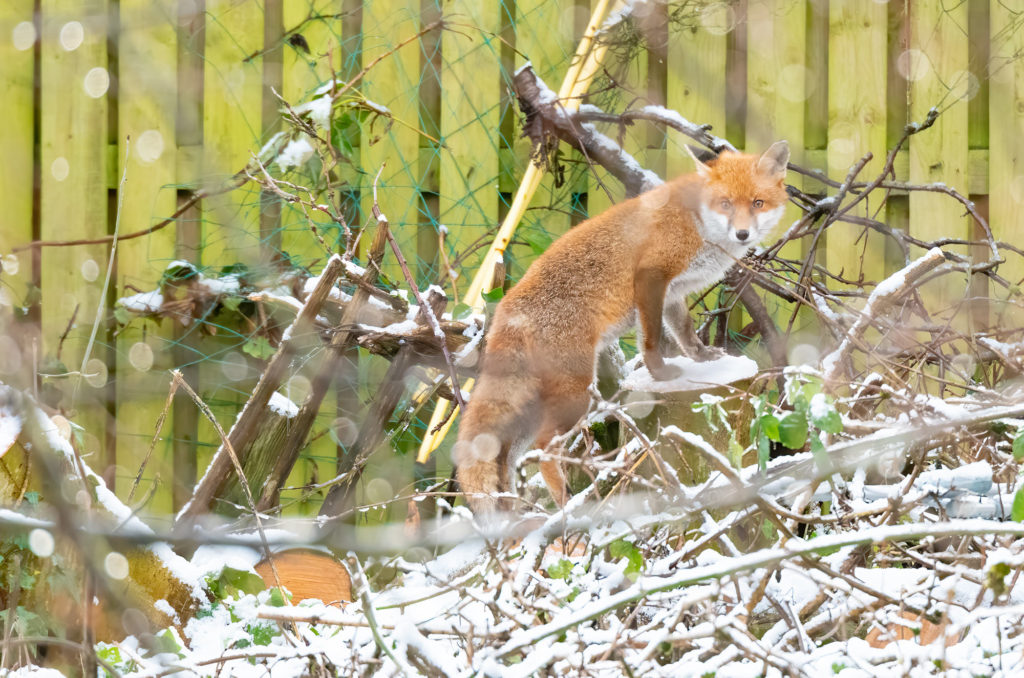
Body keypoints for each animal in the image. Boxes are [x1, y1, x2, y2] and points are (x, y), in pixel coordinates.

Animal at [456, 143, 790, 516]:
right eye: (726, 203)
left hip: (535, 408)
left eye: (758, 203)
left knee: (508, 457)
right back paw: (566, 505)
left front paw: (702, 357)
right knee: (544, 451)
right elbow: (652, 339)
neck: (699, 222)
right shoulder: (651, 276)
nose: (742, 234)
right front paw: (661, 374)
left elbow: (684, 331)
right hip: (576, 395)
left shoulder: (672, 292)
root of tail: (506, 308)